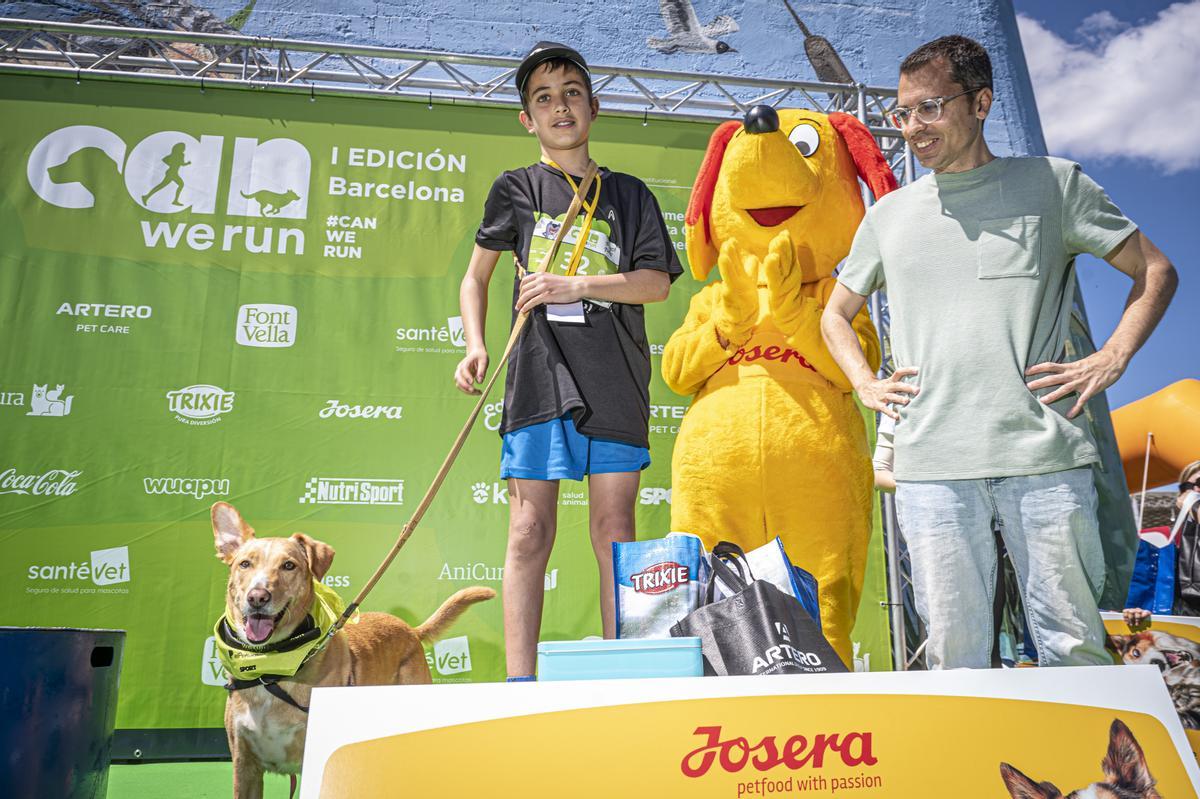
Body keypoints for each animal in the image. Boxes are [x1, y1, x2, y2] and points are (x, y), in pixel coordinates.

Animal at [213, 501, 494, 791]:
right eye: (245, 564)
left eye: (289, 565)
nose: (257, 598)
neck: (272, 671)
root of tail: (410, 630)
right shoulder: (245, 767)